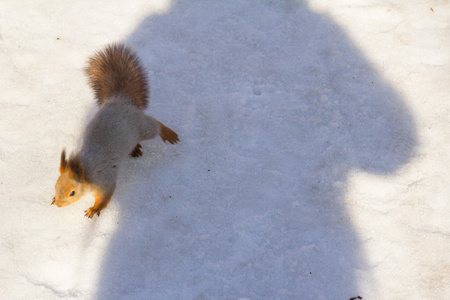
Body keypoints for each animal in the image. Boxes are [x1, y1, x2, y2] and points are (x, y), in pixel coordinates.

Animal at [52, 43, 179, 218]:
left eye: (72, 193)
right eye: (55, 186)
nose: (58, 204)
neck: (85, 170)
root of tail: (120, 98)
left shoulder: (104, 180)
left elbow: (105, 197)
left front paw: (94, 209)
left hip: (142, 126)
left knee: (155, 125)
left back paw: (168, 133)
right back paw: (135, 149)